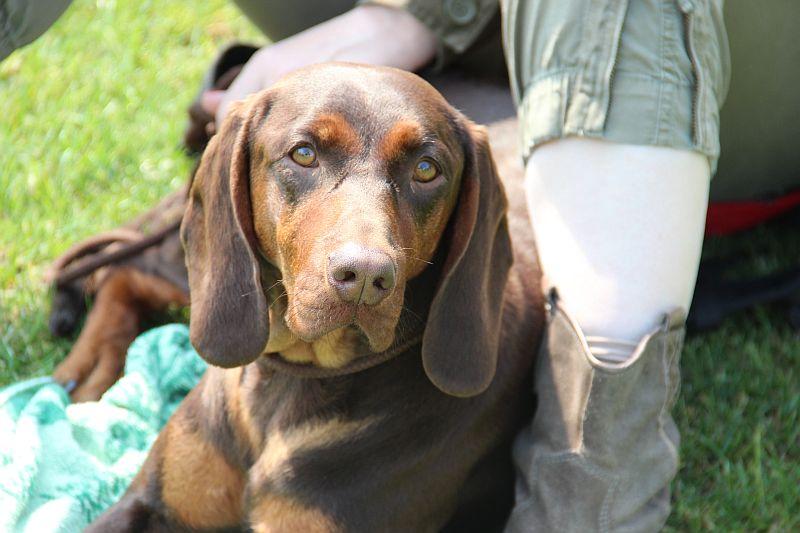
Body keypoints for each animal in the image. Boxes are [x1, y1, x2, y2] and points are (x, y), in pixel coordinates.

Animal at [87, 63, 544, 532]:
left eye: (426, 169)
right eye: (304, 154)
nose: (364, 276)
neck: (292, 378)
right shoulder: (147, 503)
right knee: (123, 268)